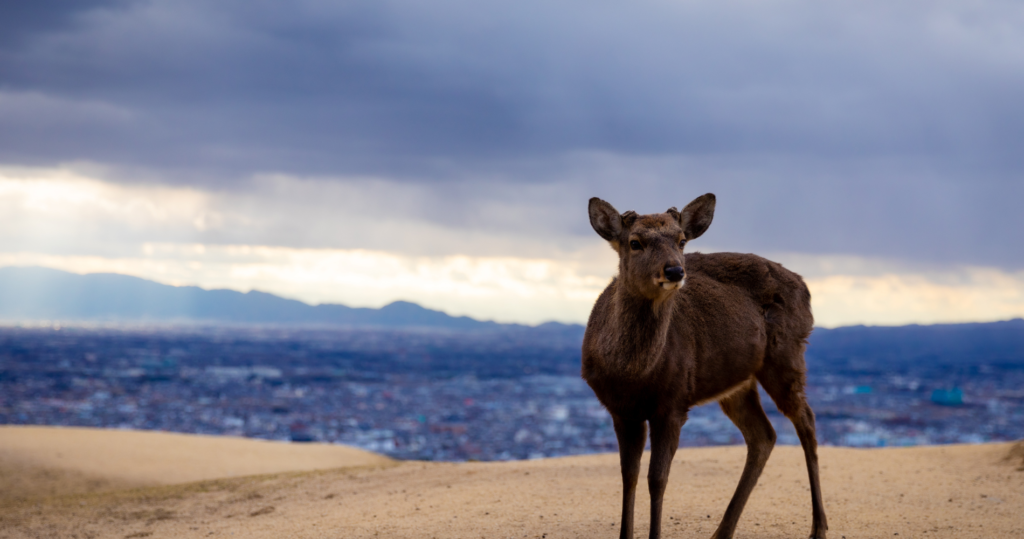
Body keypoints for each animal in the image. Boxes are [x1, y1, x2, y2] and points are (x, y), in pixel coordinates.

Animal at [581, 194, 827, 539]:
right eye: (635, 242)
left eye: (681, 240)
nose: (674, 271)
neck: (633, 374)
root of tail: (805, 287)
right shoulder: (620, 410)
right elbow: (628, 476)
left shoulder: (673, 404)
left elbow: (657, 479)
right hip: (737, 383)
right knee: (763, 435)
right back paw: (722, 532)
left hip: (787, 354)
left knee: (806, 421)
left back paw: (819, 527)